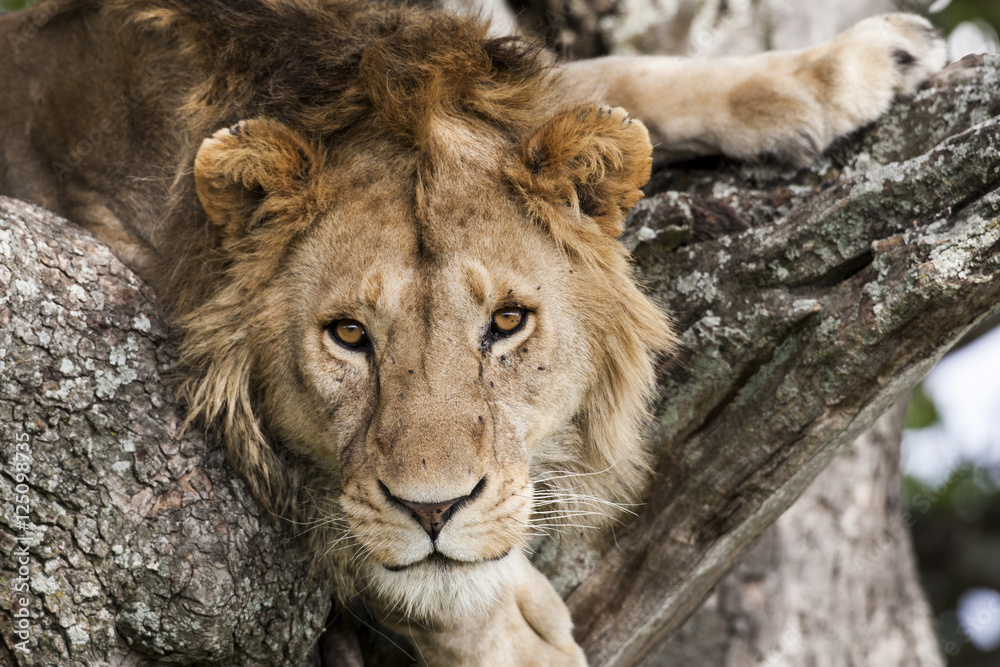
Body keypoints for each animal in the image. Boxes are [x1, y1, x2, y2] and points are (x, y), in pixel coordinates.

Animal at [0, 1, 945, 664]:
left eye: (508, 322)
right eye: (348, 335)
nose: (433, 508)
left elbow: (615, 80)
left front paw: (860, 63)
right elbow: (385, 558)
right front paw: (519, 636)